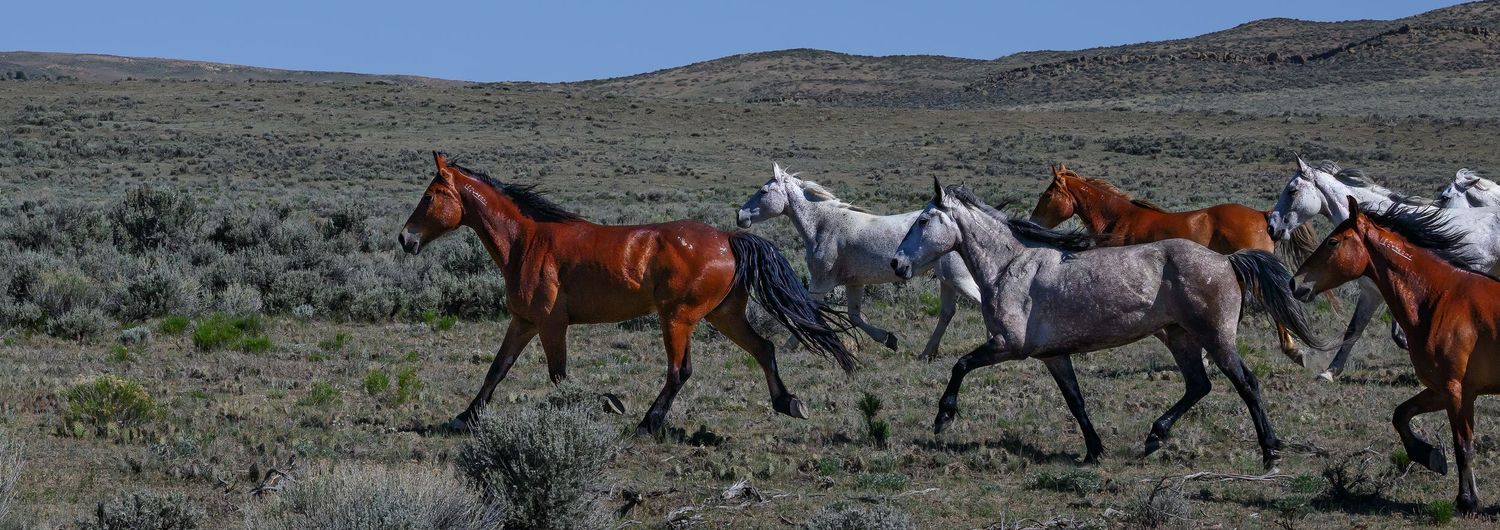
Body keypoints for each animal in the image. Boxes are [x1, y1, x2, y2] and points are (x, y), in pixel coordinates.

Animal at [398, 152, 857, 434]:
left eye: (430, 196)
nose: (405, 239)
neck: (525, 243)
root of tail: (729, 238)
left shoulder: (551, 323)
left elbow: (558, 375)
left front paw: (605, 403)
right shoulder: (524, 321)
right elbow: (497, 368)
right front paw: (464, 417)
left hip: (677, 318)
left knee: (680, 371)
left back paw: (648, 422)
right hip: (722, 315)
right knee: (764, 348)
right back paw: (788, 402)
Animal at [736, 164, 981, 360]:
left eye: (763, 191)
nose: (740, 216)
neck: (824, 226)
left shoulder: (821, 282)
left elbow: (808, 312)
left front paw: (789, 346)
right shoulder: (854, 283)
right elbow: (854, 316)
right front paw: (889, 340)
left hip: (957, 279)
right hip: (947, 280)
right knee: (947, 313)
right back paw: (926, 353)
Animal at [1292, 197, 1500, 513]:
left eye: (1332, 241)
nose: (1295, 283)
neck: (1440, 298)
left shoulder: (1455, 390)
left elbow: (1462, 445)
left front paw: (1467, 501)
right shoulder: (1447, 391)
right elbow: (1401, 415)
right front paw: (1429, 456)